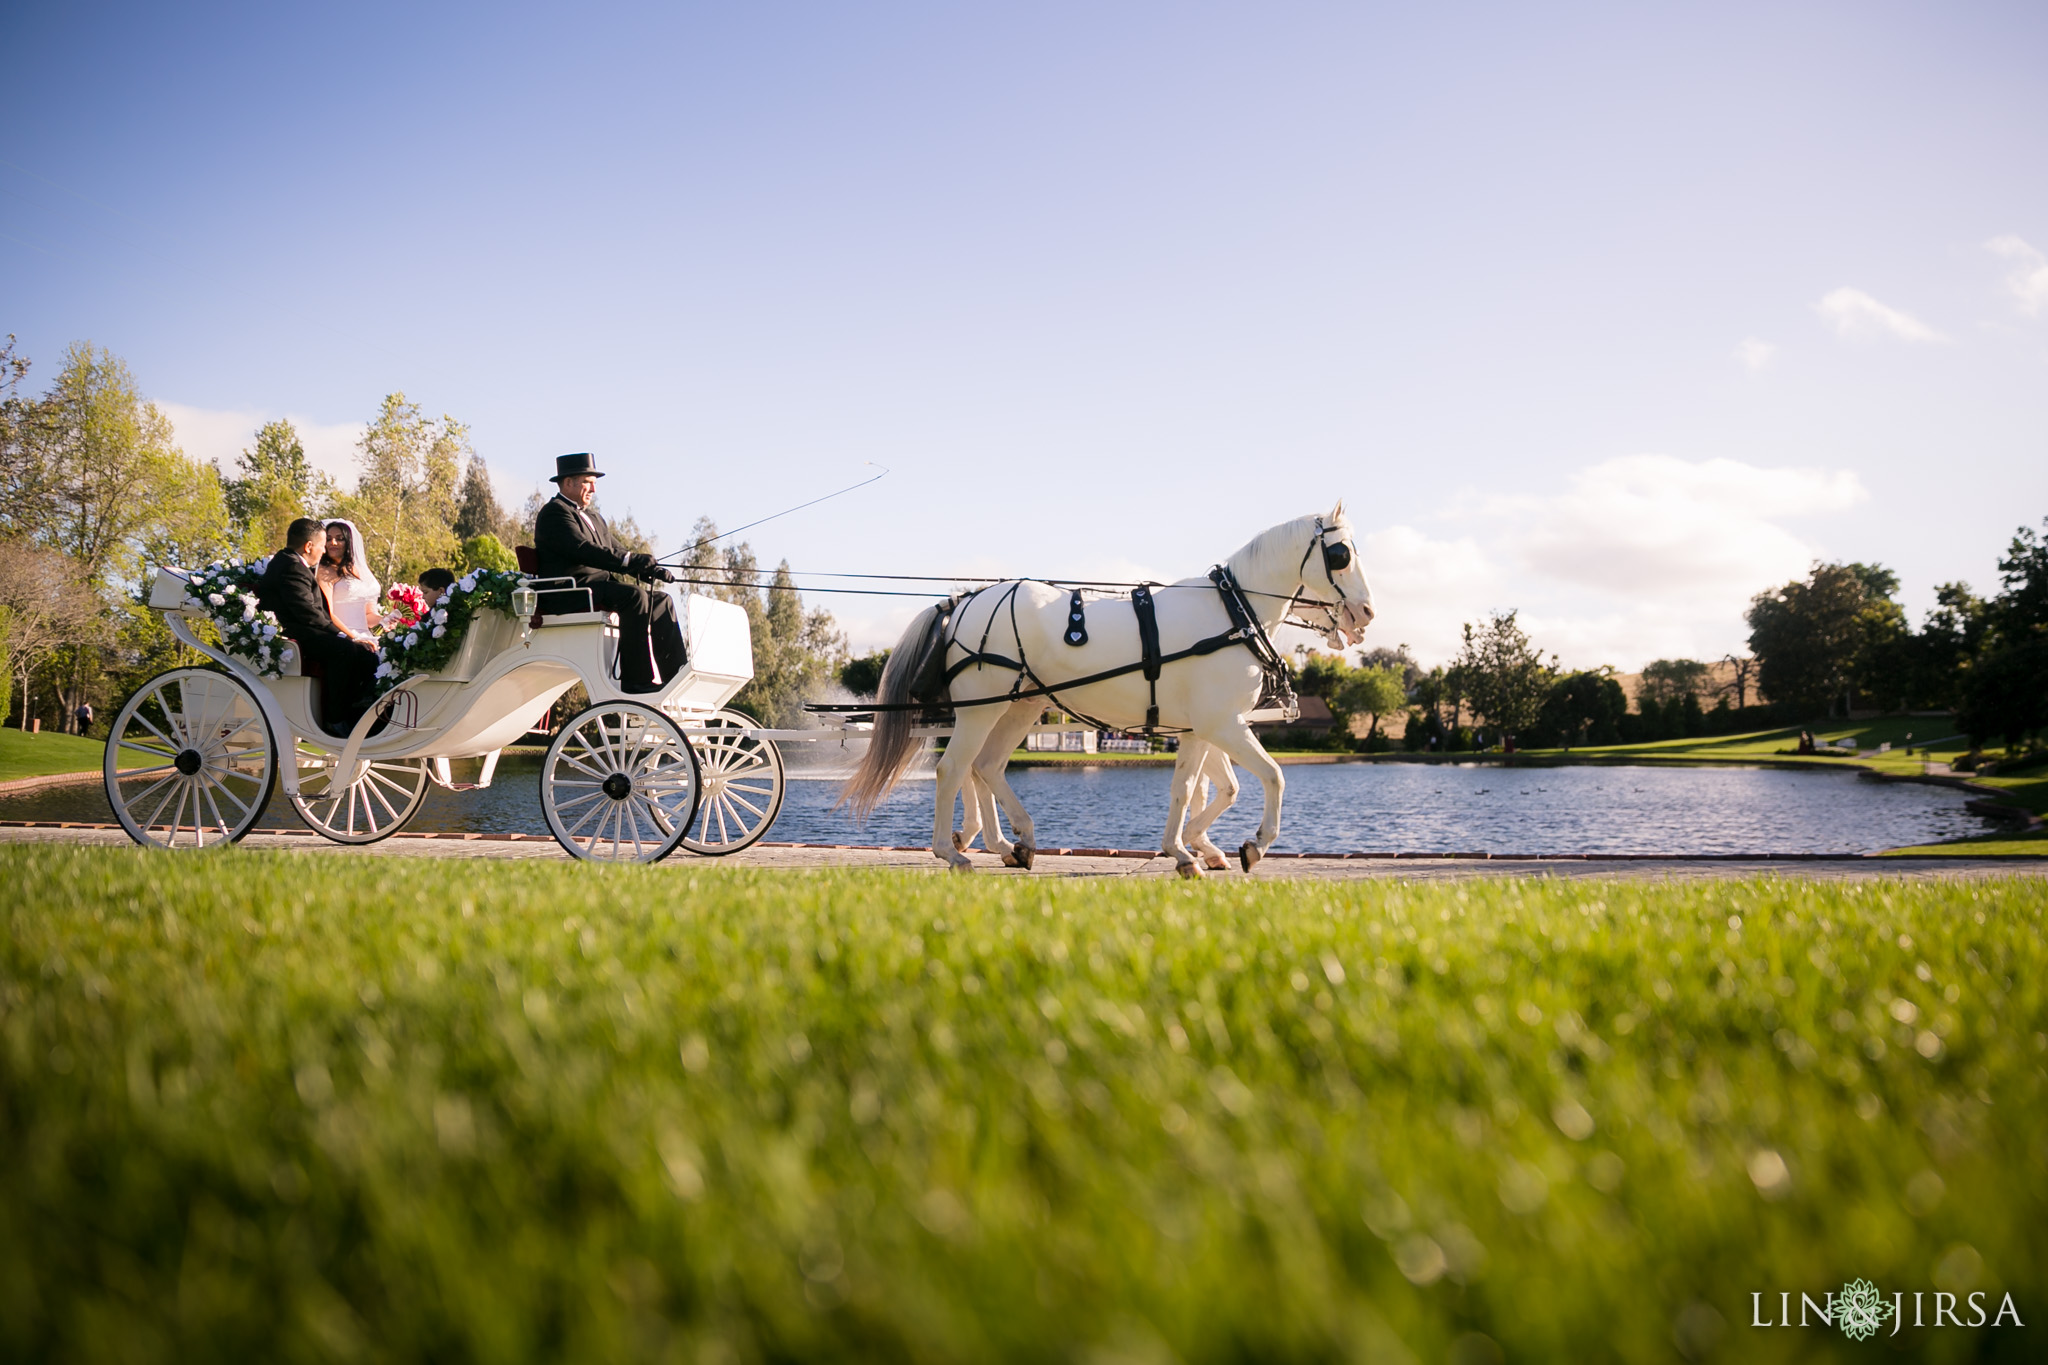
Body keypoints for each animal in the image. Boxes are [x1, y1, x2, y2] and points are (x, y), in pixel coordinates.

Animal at [839, 509, 1384, 875]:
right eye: (1341, 555)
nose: (1366, 614)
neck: (1232, 613)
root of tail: (966, 598)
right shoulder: (1223, 724)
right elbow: (1273, 776)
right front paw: (1253, 845)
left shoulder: (1202, 728)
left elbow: (1198, 787)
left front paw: (1188, 849)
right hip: (981, 708)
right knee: (953, 768)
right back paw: (952, 852)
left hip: (1020, 705)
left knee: (986, 766)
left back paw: (1017, 842)